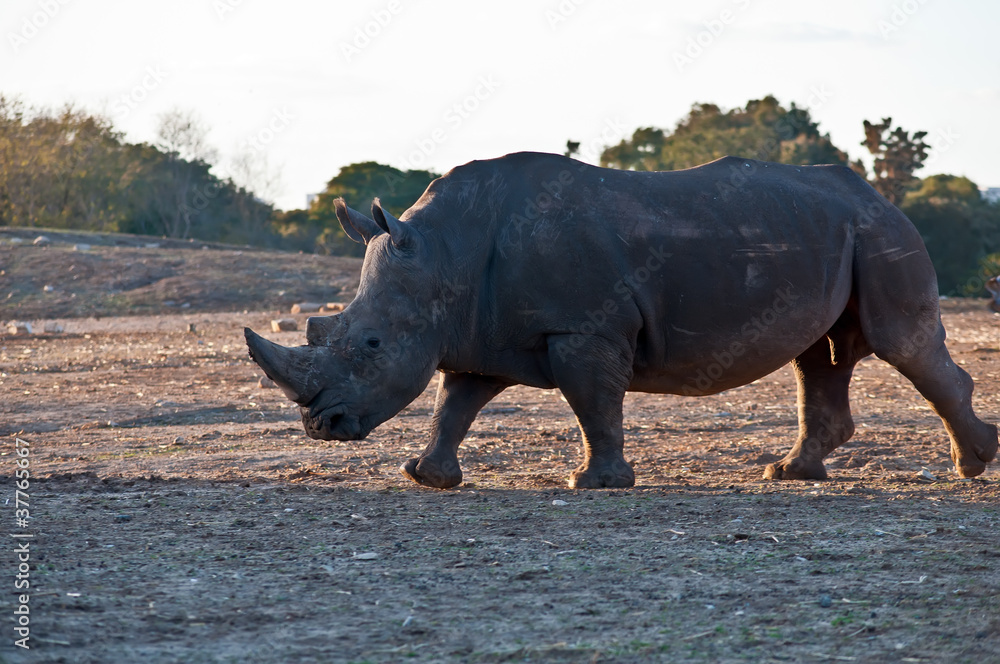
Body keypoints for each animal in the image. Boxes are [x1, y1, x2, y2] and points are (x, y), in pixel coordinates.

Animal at [245, 151, 997, 489]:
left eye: (370, 343)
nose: (321, 428)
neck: (443, 254)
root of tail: (877, 194)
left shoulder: (582, 328)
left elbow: (593, 401)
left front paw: (596, 483)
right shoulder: (482, 330)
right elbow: (454, 402)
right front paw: (426, 476)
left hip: (880, 232)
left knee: (902, 345)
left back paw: (973, 464)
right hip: (833, 232)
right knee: (818, 356)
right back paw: (789, 474)